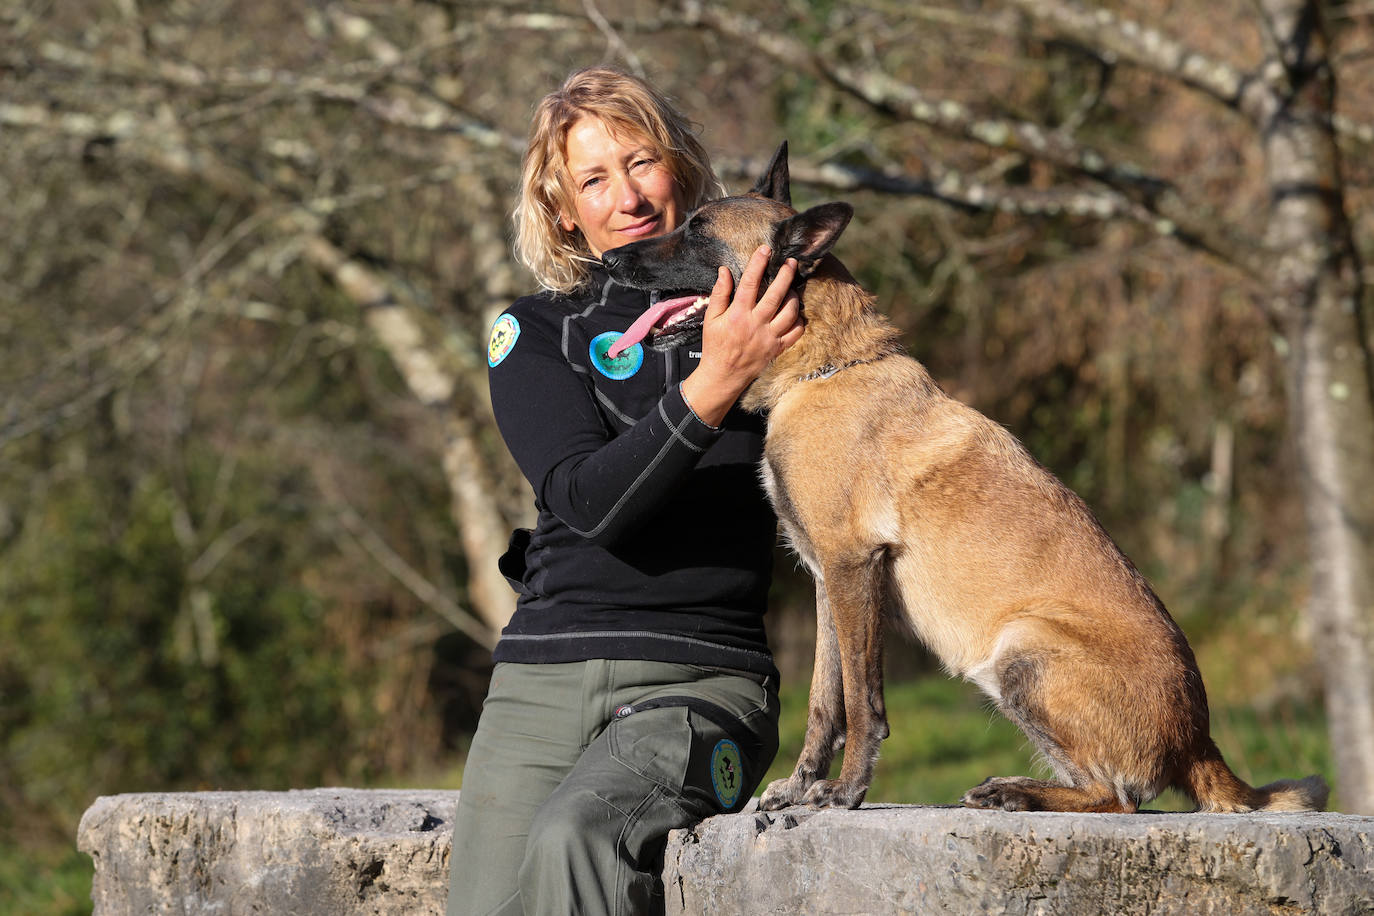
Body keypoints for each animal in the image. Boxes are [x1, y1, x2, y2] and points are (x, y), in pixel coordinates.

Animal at [604, 143, 1330, 818]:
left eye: (699, 231)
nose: (611, 261)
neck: (828, 368)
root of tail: (1200, 742)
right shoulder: (828, 581)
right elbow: (824, 701)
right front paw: (803, 784)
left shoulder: (851, 567)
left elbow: (862, 704)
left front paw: (845, 794)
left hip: (1022, 651)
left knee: (1119, 798)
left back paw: (1015, 793)